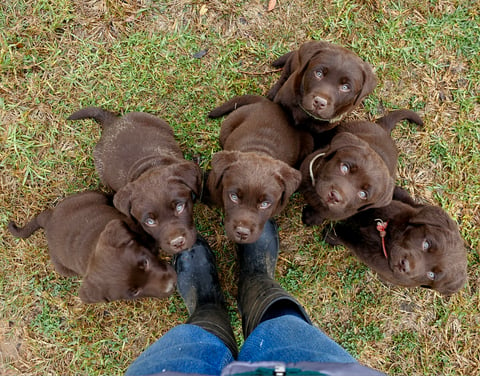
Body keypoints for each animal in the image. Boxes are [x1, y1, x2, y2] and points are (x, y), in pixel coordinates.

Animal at [207, 94, 316, 244]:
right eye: (233, 197)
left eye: (265, 204)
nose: (242, 233)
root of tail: (268, 103)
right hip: (228, 126)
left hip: (308, 142)